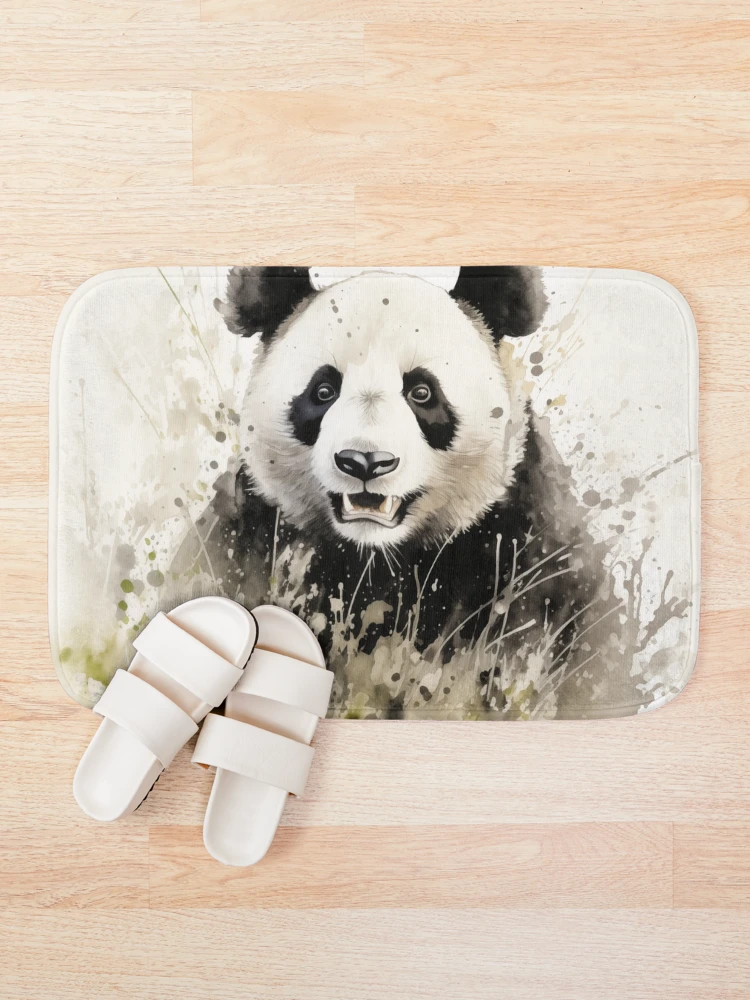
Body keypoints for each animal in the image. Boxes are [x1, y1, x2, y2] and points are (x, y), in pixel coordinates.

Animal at [183, 266, 619, 718]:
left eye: (422, 392)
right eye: (323, 391)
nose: (365, 462)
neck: (377, 557)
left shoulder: (526, 549)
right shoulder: (252, 535)